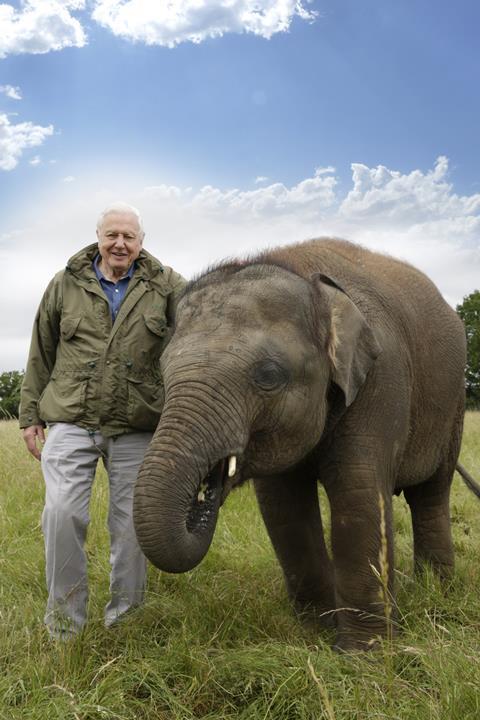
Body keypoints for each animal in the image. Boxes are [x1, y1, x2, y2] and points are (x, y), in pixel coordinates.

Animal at [133, 238, 474, 652]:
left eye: (268, 375)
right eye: (164, 373)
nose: (203, 495)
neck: (305, 277)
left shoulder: (382, 377)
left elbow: (358, 491)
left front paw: (364, 652)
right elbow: (283, 506)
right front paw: (315, 632)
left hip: (453, 406)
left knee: (432, 494)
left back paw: (436, 591)